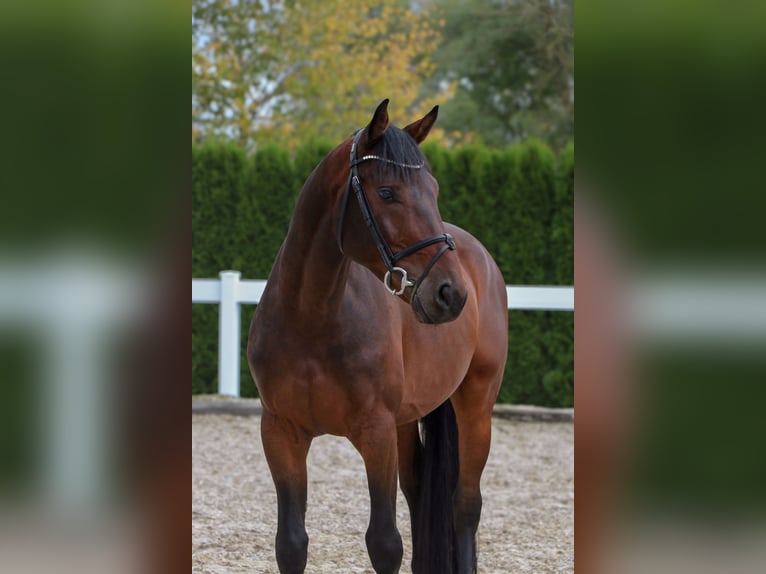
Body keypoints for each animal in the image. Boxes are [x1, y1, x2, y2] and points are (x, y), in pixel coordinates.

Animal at [248, 101, 510, 572]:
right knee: (421, 492)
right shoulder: (280, 432)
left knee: (465, 504)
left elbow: (384, 543)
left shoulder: (376, 432)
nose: (451, 293)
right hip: (408, 419)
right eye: (387, 193)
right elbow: (291, 543)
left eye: (434, 188)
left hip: (476, 404)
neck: (313, 319)